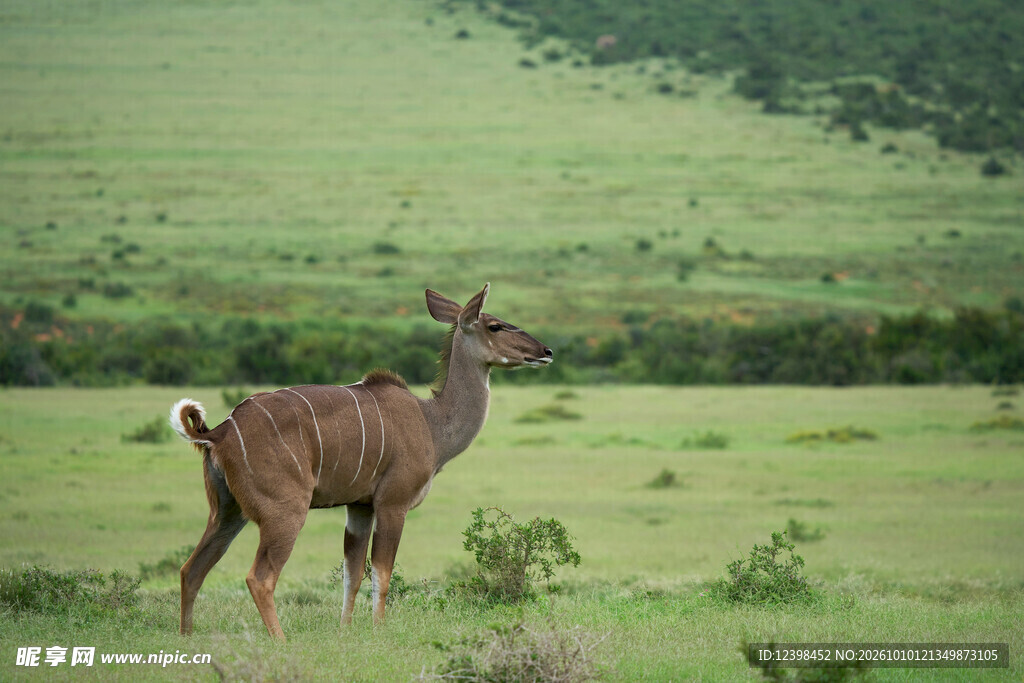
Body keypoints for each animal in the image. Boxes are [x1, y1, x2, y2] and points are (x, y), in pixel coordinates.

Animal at [169, 284, 552, 640]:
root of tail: (218, 433)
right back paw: (281, 641)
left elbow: (351, 574)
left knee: (191, 569)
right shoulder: (393, 503)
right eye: (495, 325)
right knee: (259, 578)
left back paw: (187, 637)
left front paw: (345, 630)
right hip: (284, 512)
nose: (546, 351)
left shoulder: (359, 507)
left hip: (227, 511)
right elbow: (382, 572)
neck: (431, 422)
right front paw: (378, 630)